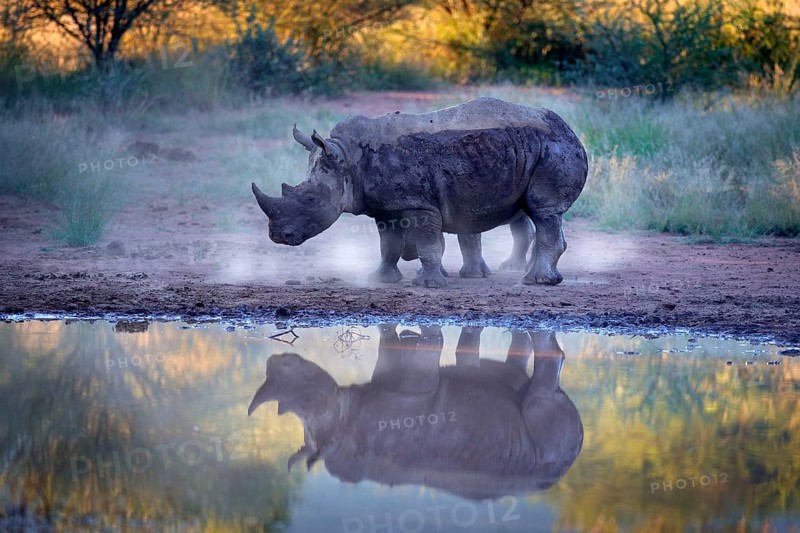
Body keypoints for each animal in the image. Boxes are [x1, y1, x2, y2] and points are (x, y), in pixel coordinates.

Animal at [247, 325, 584, 500]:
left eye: (306, 398)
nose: (275, 360)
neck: (342, 425)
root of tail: (568, 464)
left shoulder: (416, 394)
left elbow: (424, 366)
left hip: (550, 451)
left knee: (537, 404)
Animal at [251, 97, 587, 287]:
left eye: (309, 199)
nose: (276, 236)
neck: (347, 157)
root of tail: (568, 128)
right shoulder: (386, 207)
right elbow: (388, 246)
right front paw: (381, 280)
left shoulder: (419, 204)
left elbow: (427, 243)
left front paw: (428, 285)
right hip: (525, 150)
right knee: (536, 212)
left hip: (552, 147)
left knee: (543, 210)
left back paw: (536, 282)